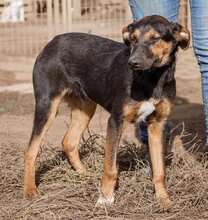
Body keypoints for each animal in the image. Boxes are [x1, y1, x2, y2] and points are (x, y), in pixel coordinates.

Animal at [24, 15, 190, 206]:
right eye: (133, 39)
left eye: (154, 39)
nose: (132, 63)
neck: (152, 78)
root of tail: (52, 42)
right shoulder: (116, 120)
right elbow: (110, 167)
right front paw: (105, 199)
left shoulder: (157, 124)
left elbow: (160, 170)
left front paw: (163, 199)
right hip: (47, 106)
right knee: (30, 150)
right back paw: (30, 190)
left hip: (86, 108)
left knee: (69, 142)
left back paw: (85, 174)